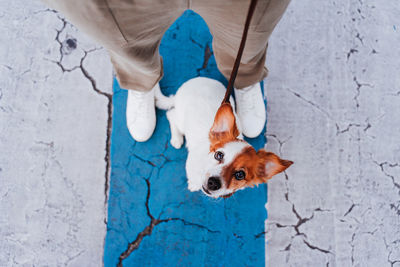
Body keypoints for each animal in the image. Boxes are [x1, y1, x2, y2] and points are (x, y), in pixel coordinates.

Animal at [155, 77, 292, 199]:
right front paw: (194, 184)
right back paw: (176, 139)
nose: (213, 183)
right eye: (219, 155)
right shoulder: (191, 165)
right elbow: (193, 178)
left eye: (240, 175)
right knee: (171, 115)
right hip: (181, 119)